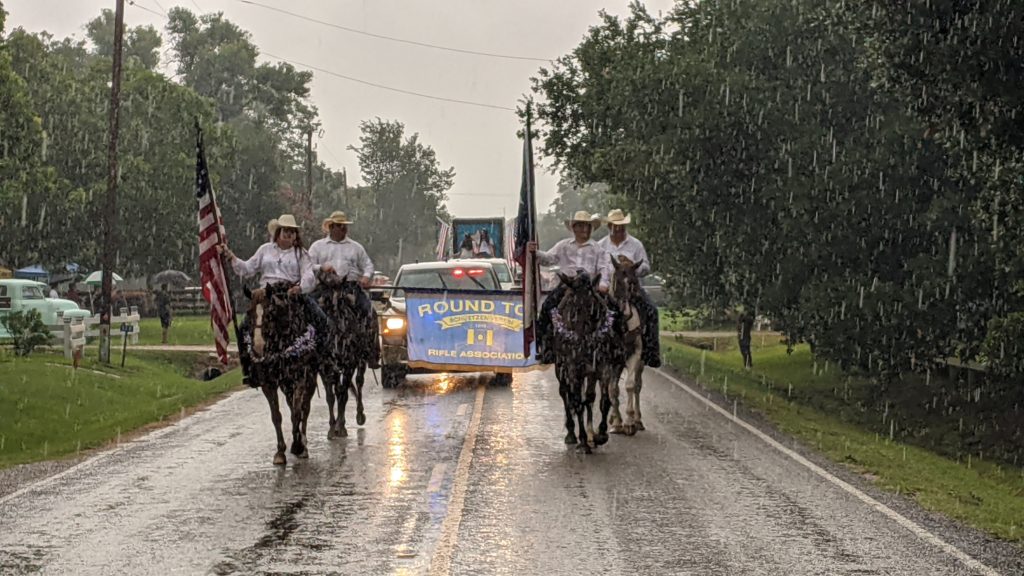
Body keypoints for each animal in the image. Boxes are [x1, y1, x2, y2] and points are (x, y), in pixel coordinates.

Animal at [241, 280, 317, 463]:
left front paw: (297, 446)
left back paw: (303, 445)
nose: (258, 348)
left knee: (305, 409)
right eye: (249, 312)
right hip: (286, 385)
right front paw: (280, 452)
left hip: (309, 381)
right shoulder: (268, 383)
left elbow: (297, 413)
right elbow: (277, 416)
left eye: (270, 312)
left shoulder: (300, 379)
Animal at [317, 270, 374, 436]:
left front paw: (340, 426)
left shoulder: (349, 364)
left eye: (341, 299)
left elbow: (343, 394)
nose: (334, 324)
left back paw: (359, 415)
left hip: (361, 359)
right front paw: (332, 427)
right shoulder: (325, 367)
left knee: (359, 382)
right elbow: (331, 396)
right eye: (323, 299)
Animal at [552, 270, 622, 450]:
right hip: (561, 369)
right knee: (565, 394)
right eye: (572, 308)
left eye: (593, 306)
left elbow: (604, 400)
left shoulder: (603, 367)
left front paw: (601, 434)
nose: (580, 343)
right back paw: (572, 434)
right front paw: (583, 440)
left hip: (591, 372)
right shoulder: (572, 369)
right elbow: (576, 402)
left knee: (589, 397)